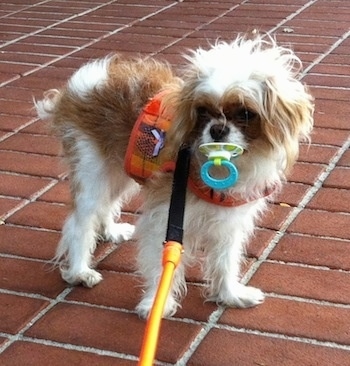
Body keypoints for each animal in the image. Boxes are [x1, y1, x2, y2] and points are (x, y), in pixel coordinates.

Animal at [35, 35, 314, 320]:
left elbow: (225, 261)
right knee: (80, 223)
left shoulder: (229, 223)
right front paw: (155, 304)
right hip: (93, 172)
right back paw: (79, 271)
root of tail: (83, 81)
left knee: (105, 206)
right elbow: (163, 265)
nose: (217, 129)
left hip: (118, 172)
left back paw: (110, 231)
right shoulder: (166, 218)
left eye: (245, 113)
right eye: (202, 111)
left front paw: (229, 294)